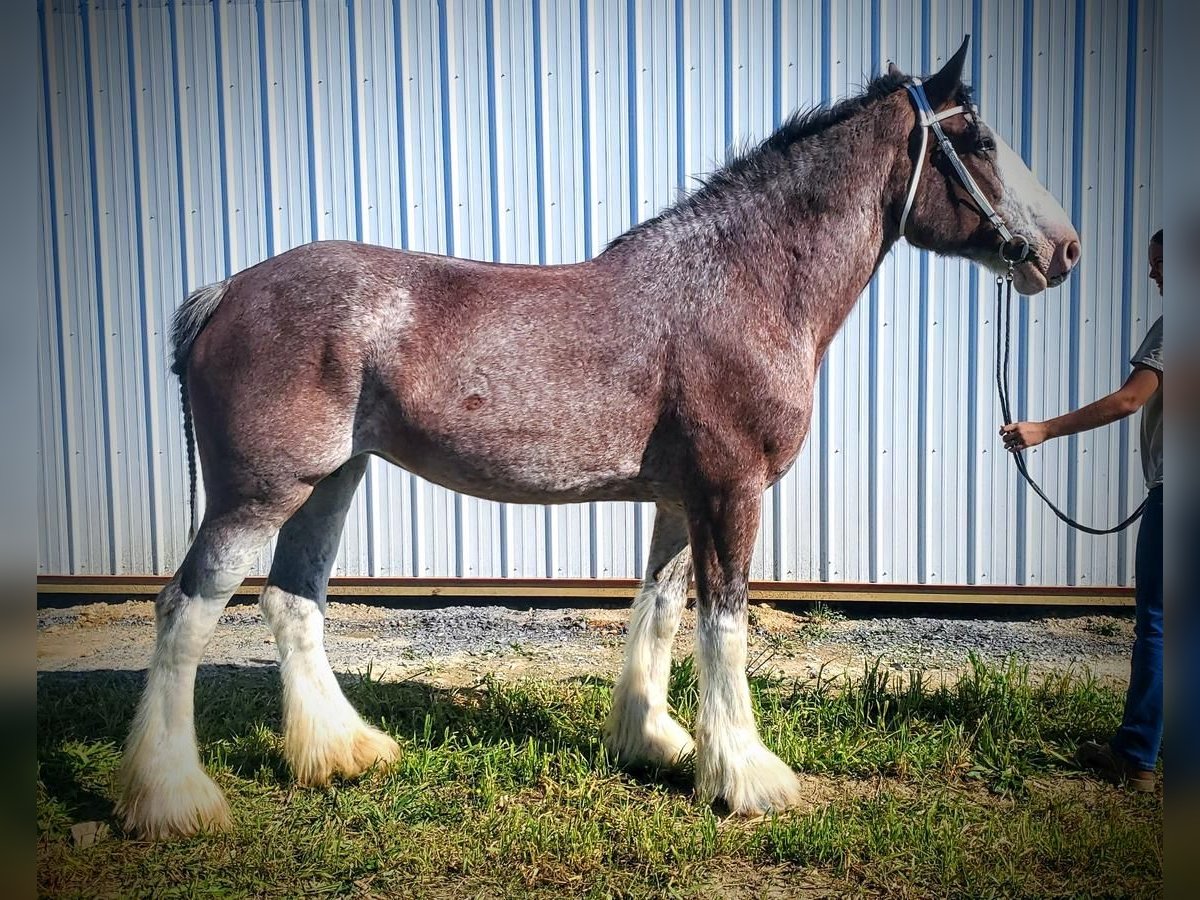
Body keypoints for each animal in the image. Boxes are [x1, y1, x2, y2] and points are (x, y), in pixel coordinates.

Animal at [119, 35, 1080, 840]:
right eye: (980, 140)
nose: (1063, 251)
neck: (741, 284)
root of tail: (227, 292)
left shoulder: (679, 500)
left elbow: (660, 610)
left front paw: (655, 743)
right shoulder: (731, 491)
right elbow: (725, 625)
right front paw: (748, 777)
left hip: (331, 481)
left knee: (293, 602)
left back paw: (343, 753)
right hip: (259, 493)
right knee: (185, 610)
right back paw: (175, 799)